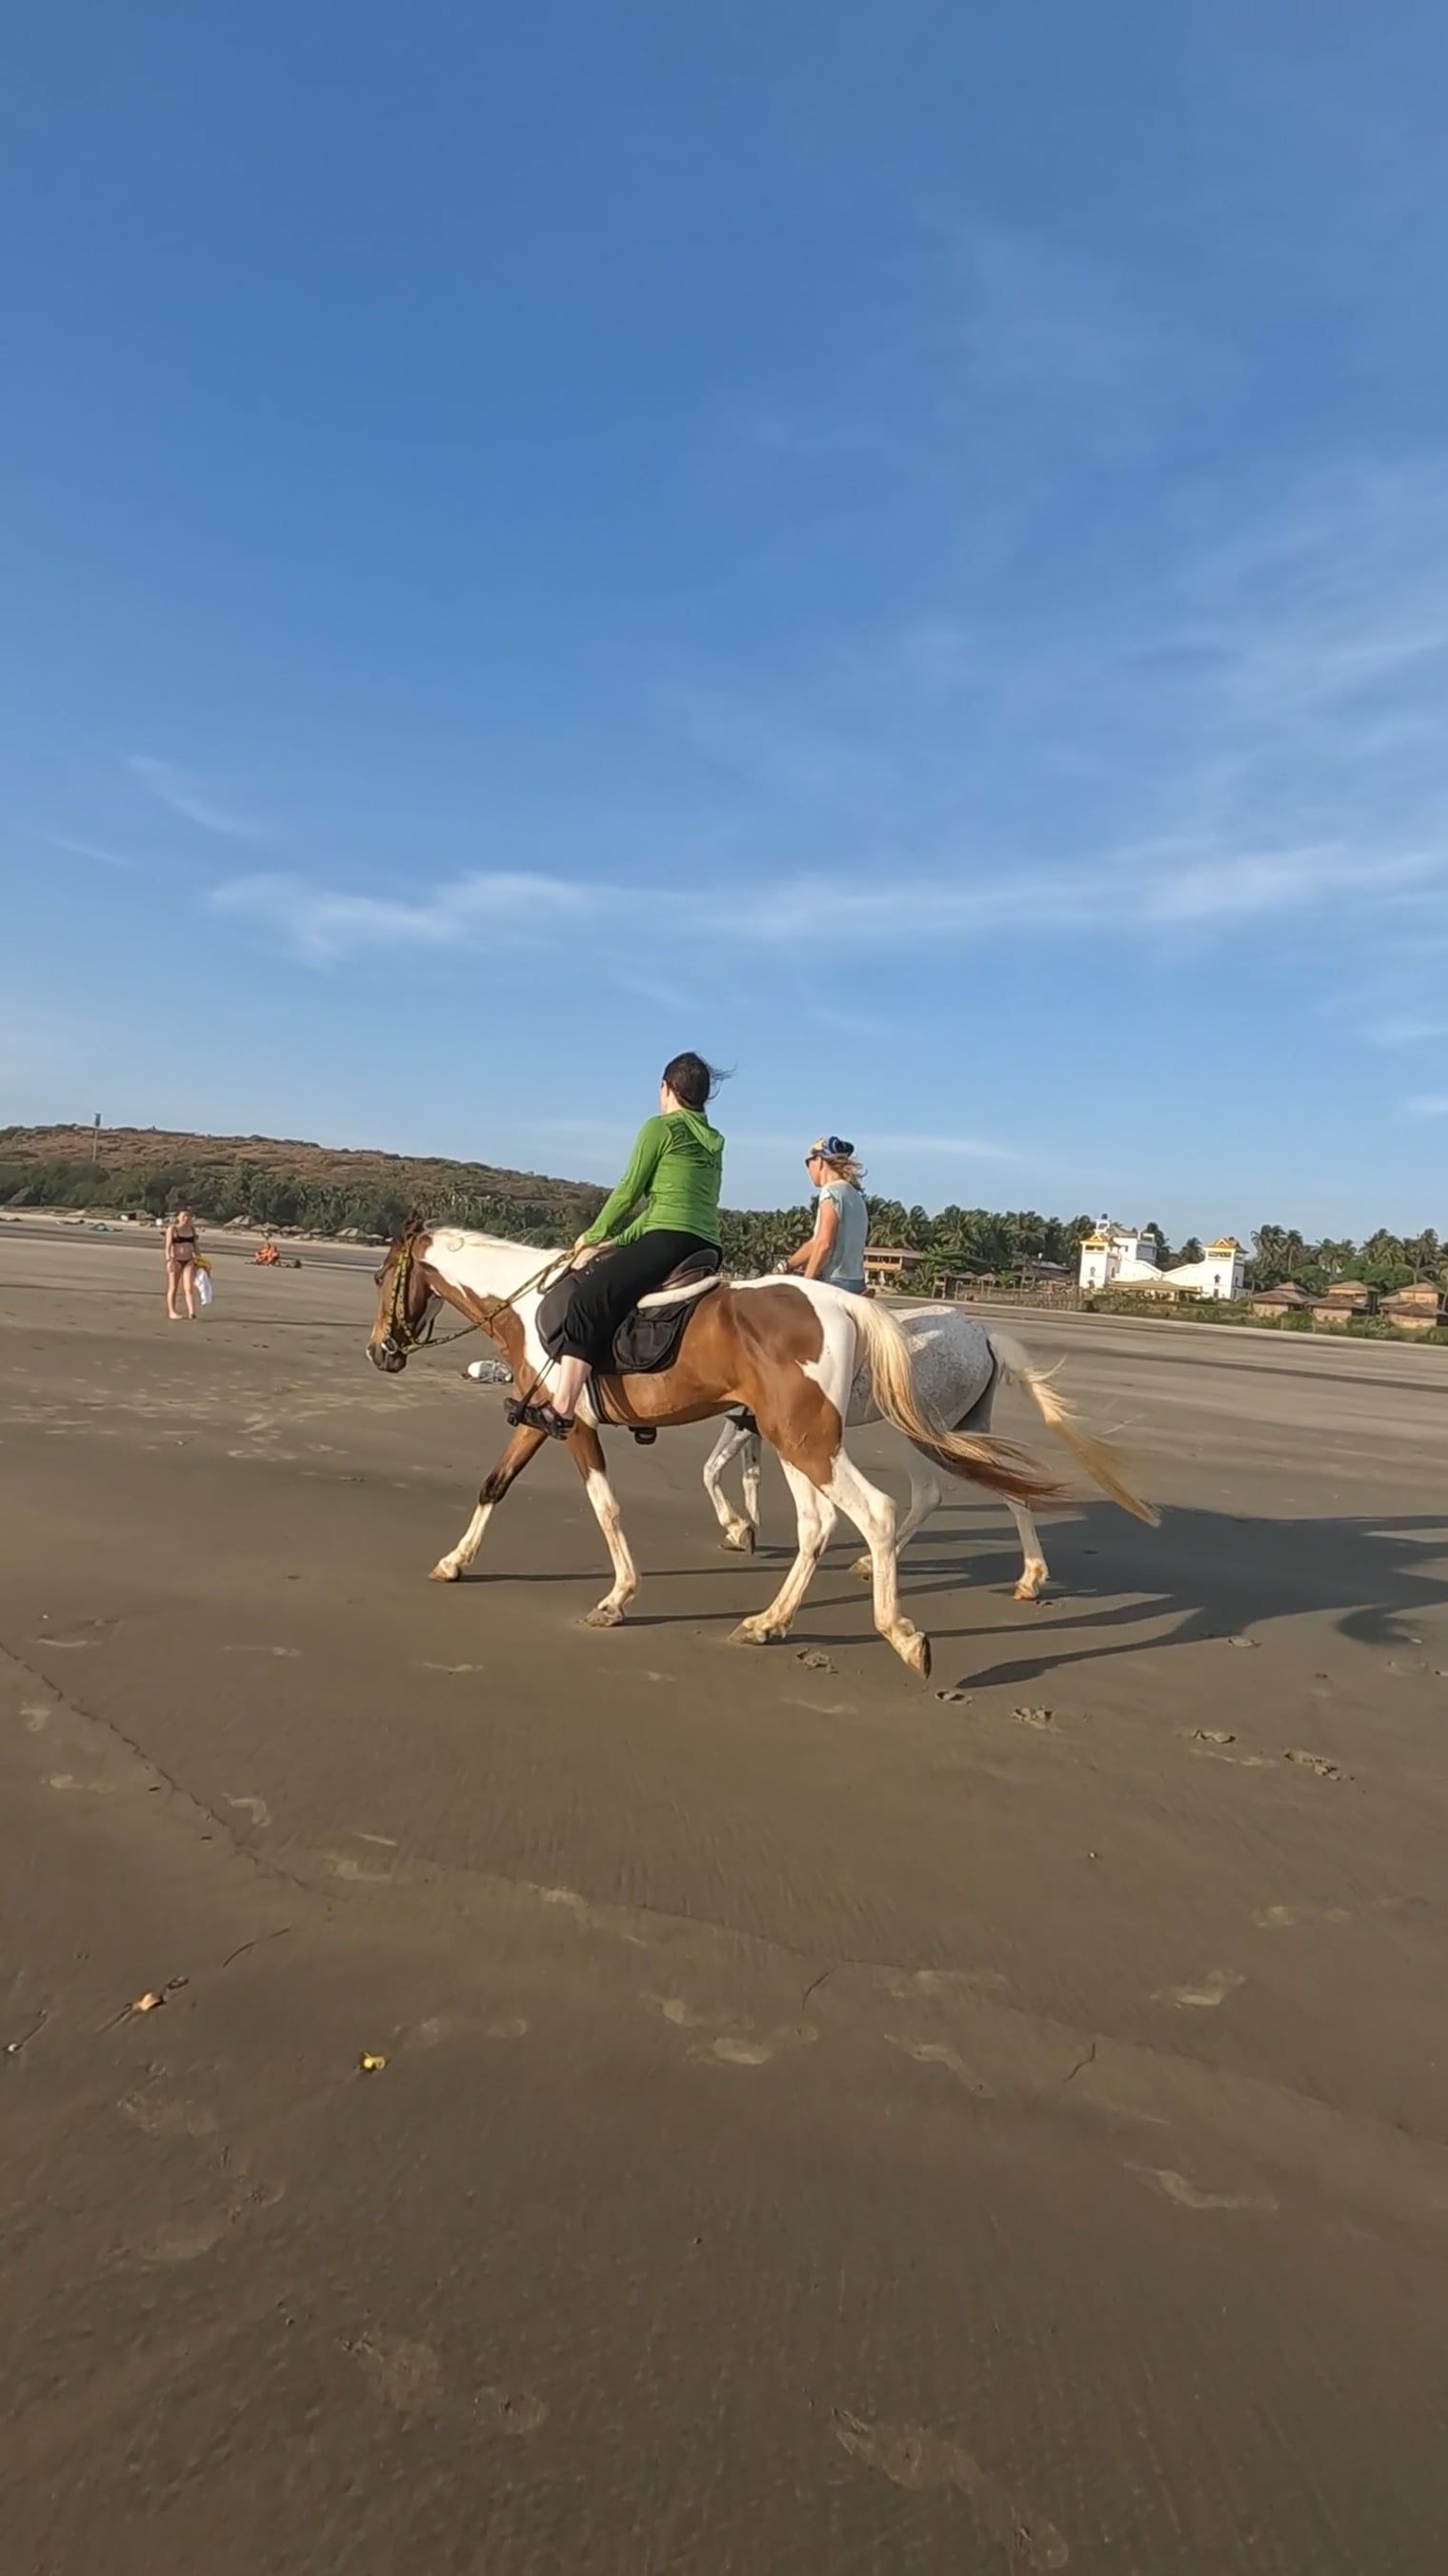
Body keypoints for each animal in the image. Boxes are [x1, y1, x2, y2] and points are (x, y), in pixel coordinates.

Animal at [700, 1315, 1145, 1599]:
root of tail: (983, 1337)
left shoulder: (749, 1421)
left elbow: (711, 1470)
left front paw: (738, 1527)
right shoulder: (754, 1424)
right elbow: (741, 1471)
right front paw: (745, 1528)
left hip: (924, 1434)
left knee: (930, 1496)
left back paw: (876, 1560)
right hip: (968, 1432)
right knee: (1012, 1489)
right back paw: (1030, 1578)